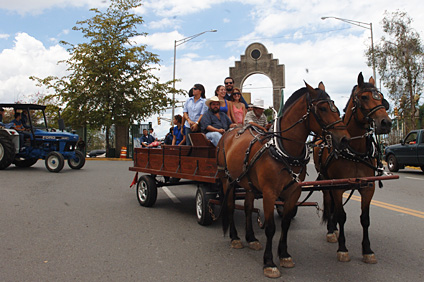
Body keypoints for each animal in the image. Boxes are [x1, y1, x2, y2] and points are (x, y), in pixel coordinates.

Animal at [217, 81, 350, 278]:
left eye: (336, 108)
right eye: (323, 108)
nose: (345, 139)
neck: (283, 151)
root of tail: (230, 131)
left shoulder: (293, 191)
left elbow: (285, 223)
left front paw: (284, 255)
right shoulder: (269, 193)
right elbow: (271, 227)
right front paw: (269, 262)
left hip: (248, 184)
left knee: (248, 208)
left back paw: (251, 238)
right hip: (228, 180)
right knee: (230, 206)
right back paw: (235, 237)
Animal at [314, 71, 392, 264]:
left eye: (381, 98)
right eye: (364, 97)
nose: (386, 123)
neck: (354, 150)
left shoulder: (368, 187)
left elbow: (365, 219)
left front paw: (367, 250)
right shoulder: (337, 186)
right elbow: (342, 216)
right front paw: (342, 248)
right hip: (326, 181)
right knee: (329, 202)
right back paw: (331, 230)